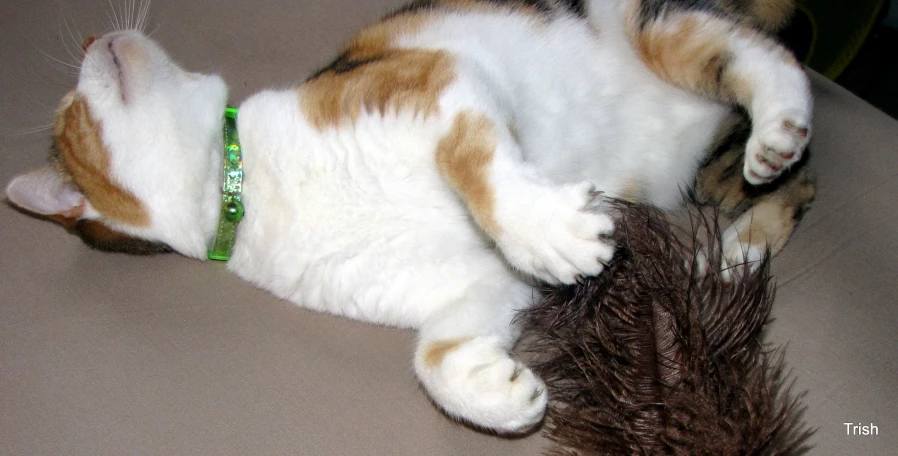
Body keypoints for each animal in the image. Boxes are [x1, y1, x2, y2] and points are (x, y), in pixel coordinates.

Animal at [3, 0, 812, 434]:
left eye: (66, 108)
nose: (89, 38)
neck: (248, 186)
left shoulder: (436, 80)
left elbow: (473, 164)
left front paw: (549, 233)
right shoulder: (474, 285)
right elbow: (433, 356)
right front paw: (499, 395)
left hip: (654, 29)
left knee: (762, 59)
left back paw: (778, 126)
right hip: (709, 170)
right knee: (785, 182)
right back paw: (738, 251)